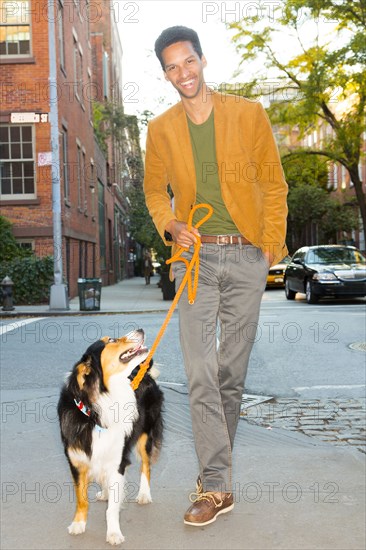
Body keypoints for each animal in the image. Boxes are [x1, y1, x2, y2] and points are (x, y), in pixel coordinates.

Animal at [57, 330, 163, 544]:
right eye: (111, 341)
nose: (140, 330)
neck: (94, 412)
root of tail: (144, 372)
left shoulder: (117, 461)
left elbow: (112, 509)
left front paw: (113, 533)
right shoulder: (77, 462)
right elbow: (81, 499)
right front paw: (78, 524)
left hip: (145, 435)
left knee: (146, 464)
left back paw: (144, 494)